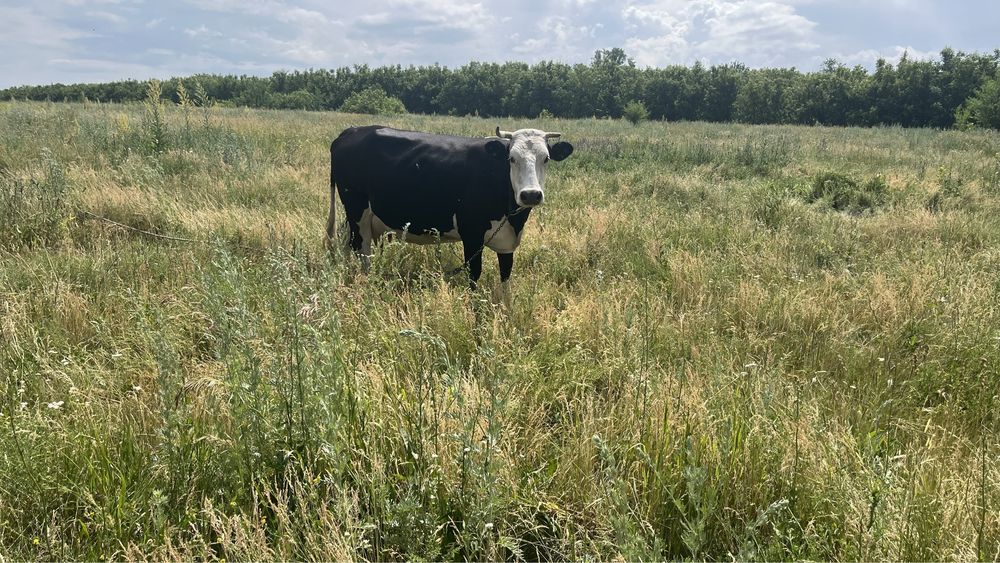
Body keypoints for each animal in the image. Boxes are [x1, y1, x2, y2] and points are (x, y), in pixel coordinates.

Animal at [326, 125, 574, 291]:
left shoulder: (507, 243)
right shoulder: (471, 236)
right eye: (511, 158)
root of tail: (353, 130)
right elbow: (474, 278)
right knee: (363, 252)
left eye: (546, 158)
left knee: (351, 247)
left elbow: (505, 281)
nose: (530, 194)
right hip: (357, 211)